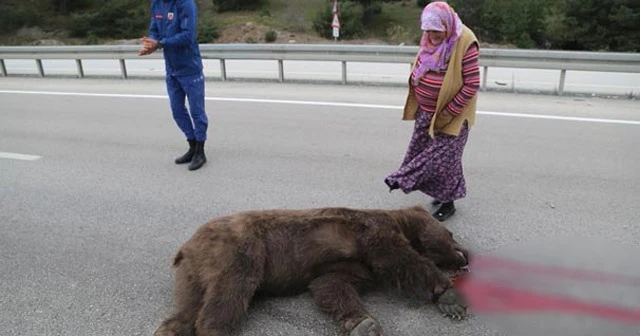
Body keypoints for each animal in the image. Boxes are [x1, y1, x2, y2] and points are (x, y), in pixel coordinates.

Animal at [155, 205, 470, 336]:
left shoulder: (351, 267)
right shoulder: (375, 232)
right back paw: (215, 328)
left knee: (188, 308)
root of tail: (188, 245)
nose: (466, 254)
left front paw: (362, 324)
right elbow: (400, 260)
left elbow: (331, 286)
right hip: (240, 250)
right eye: (451, 234)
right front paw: (450, 297)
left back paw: (169, 329)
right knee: (232, 292)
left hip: (193, 274)